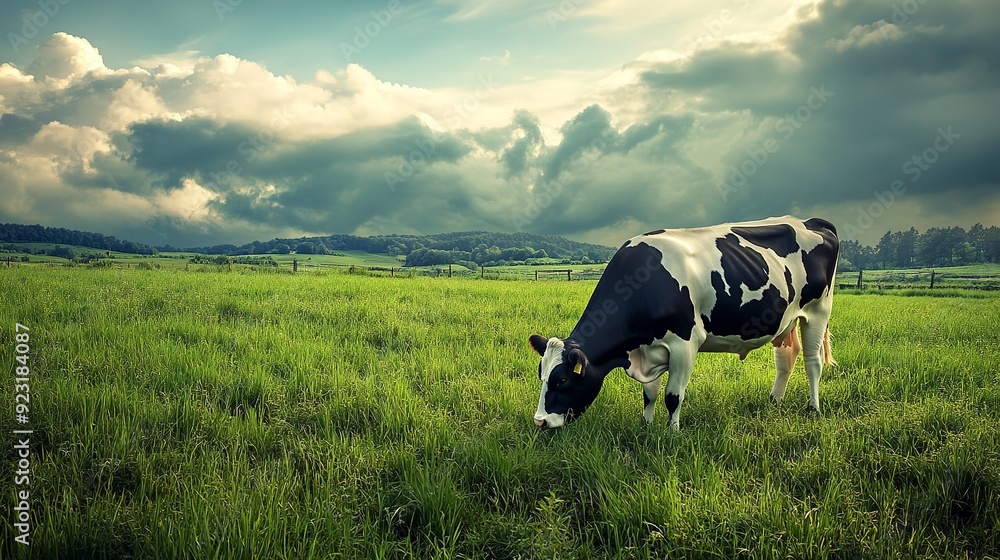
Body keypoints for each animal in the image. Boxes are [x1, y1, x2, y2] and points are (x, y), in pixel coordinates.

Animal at [529, 216, 838, 430]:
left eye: (562, 380)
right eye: (541, 375)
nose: (540, 421)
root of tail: (810, 221)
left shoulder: (684, 343)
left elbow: (672, 396)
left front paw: (672, 432)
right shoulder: (650, 348)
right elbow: (650, 394)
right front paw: (646, 426)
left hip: (818, 311)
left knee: (812, 362)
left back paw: (813, 407)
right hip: (786, 320)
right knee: (786, 357)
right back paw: (775, 401)